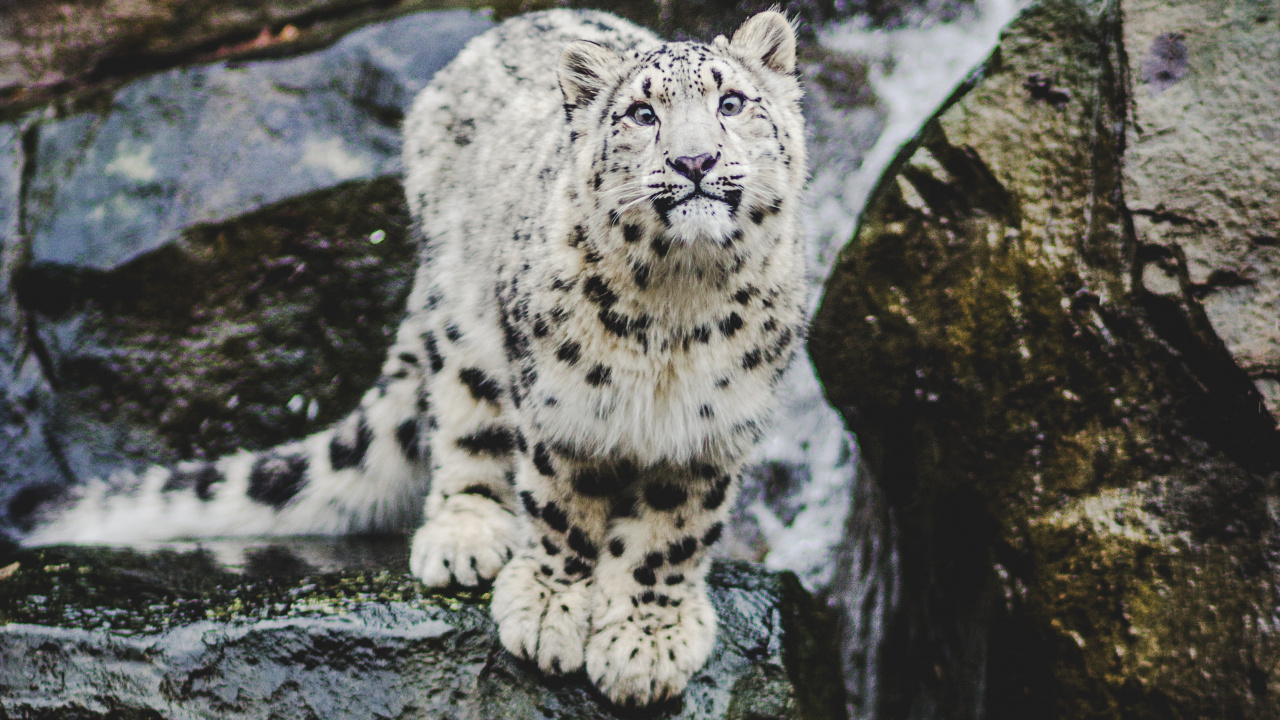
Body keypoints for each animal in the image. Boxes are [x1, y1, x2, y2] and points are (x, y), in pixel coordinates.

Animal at [27, 8, 807, 706]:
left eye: (732, 103)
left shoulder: (712, 427)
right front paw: (550, 610)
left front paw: (648, 642)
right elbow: (560, 505)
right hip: (465, 328)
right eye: (643, 114)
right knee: (464, 424)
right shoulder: (560, 403)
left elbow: (672, 535)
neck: (678, 310)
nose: (695, 160)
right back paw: (465, 535)